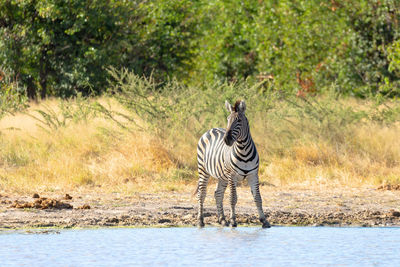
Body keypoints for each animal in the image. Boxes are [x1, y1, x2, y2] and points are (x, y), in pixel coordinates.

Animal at [195, 99, 270, 229]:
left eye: (239, 120)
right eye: (228, 119)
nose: (226, 140)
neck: (243, 151)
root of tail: (212, 129)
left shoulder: (253, 175)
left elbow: (258, 198)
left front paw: (264, 221)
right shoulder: (232, 176)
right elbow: (233, 198)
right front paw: (233, 221)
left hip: (222, 176)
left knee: (218, 194)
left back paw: (222, 220)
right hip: (203, 170)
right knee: (202, 194)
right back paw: (200, 221)